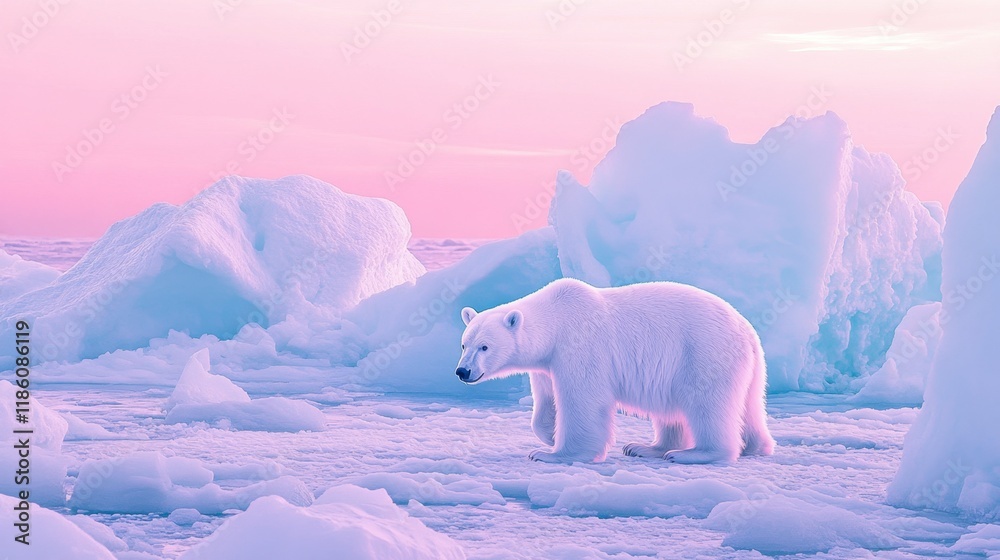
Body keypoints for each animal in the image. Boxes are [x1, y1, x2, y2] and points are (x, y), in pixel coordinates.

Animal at [458, 276, 776, 464]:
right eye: (464, 344)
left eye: (484, 347)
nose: (463, 372)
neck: (556, 319)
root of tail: (748, 333)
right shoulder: (547, 363)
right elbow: (546, 400)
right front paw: (549, 434)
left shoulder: (579, 346)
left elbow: (582, 400)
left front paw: (551, 453)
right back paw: (646, 447)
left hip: (703, 354)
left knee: (706, 403)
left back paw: (692, 453)